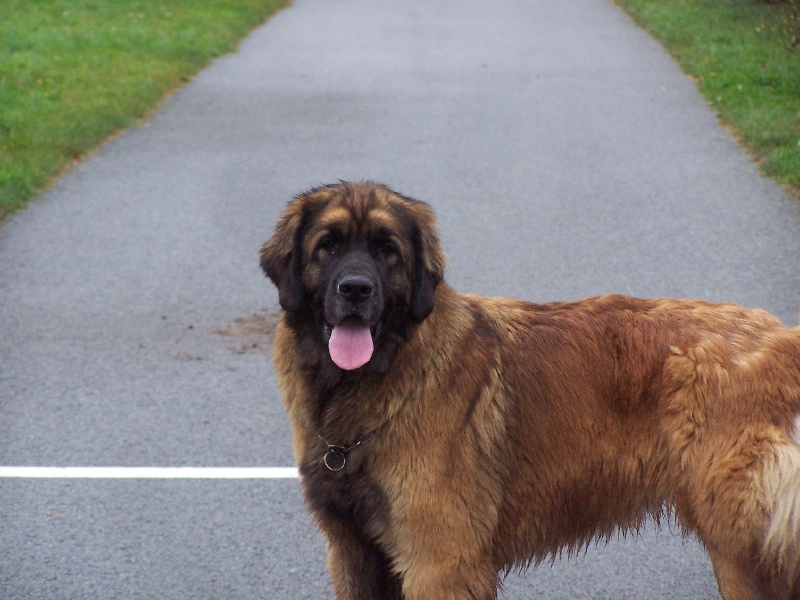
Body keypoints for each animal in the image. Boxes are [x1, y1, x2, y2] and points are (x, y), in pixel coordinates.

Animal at [260, 182, 800, 600]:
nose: (355, 289)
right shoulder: (353, 553)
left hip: (740, 548)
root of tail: (781, 339)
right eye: (328, 246)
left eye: (386, 249)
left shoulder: (439, 562)